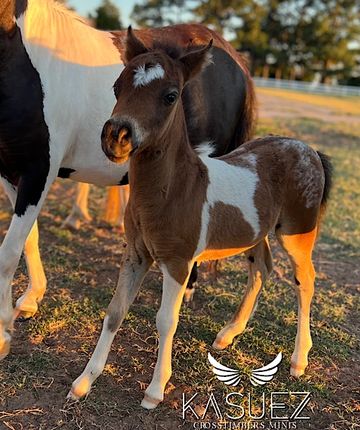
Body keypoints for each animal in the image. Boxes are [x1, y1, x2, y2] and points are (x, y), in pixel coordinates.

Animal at [0, 0, 256, 358]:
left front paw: (2, 336)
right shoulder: (11, 172)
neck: (27, 60)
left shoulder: (39, 173)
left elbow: (8, 253)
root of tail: (233, 58)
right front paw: (29, 301)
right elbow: (29, 239)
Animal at [69, 31, 334, 410]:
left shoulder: (178, 262)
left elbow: (166, 320)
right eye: (117, 86)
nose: (115, 137)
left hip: (297, 234)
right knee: (261, 269)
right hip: (256, 234)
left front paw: (154, 391)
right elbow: (115, 311)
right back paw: (227, 336)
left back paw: (299, 360)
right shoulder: (136, 254)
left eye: (170, 95)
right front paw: (83, 382)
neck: (176, 187)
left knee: (306, 281)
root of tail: (309, 150)